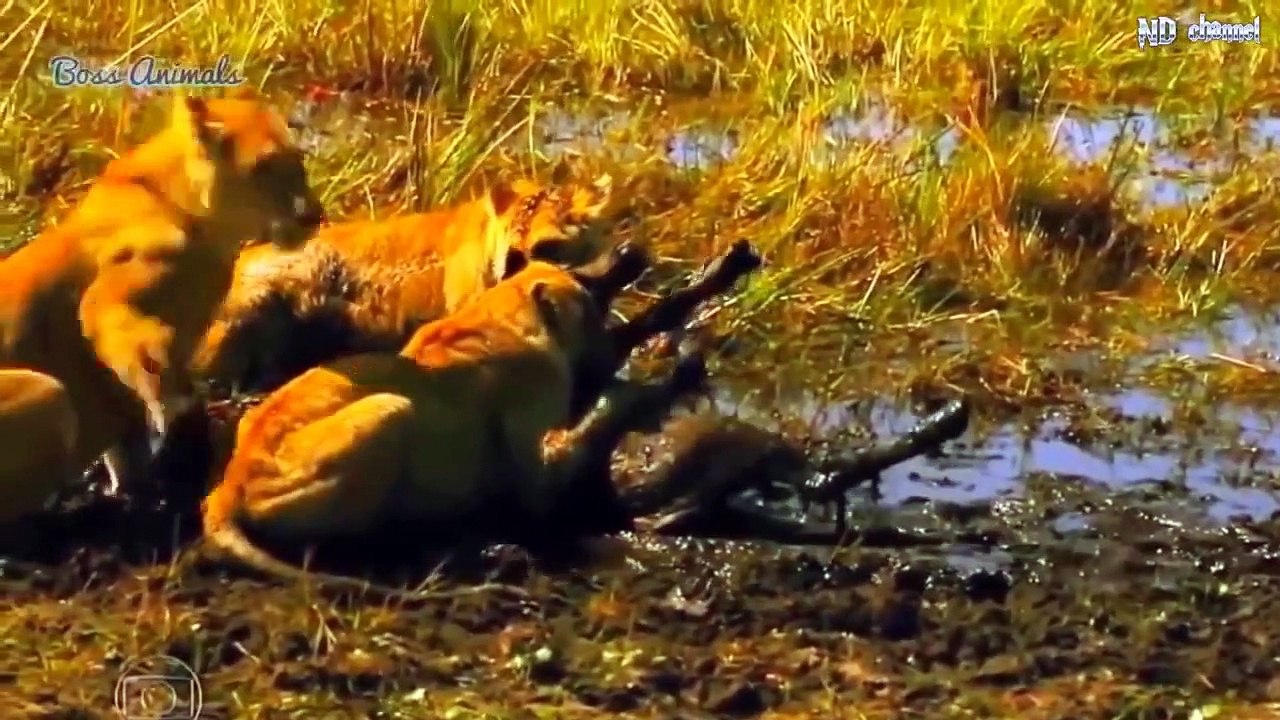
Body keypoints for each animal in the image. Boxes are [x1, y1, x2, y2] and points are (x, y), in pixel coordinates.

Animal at [0, 89, 325, 525]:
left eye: (298, 159)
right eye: (264, 165)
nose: (314, 216)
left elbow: (127, 450)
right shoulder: (110, 296)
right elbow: (139, 353)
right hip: (52, 395)